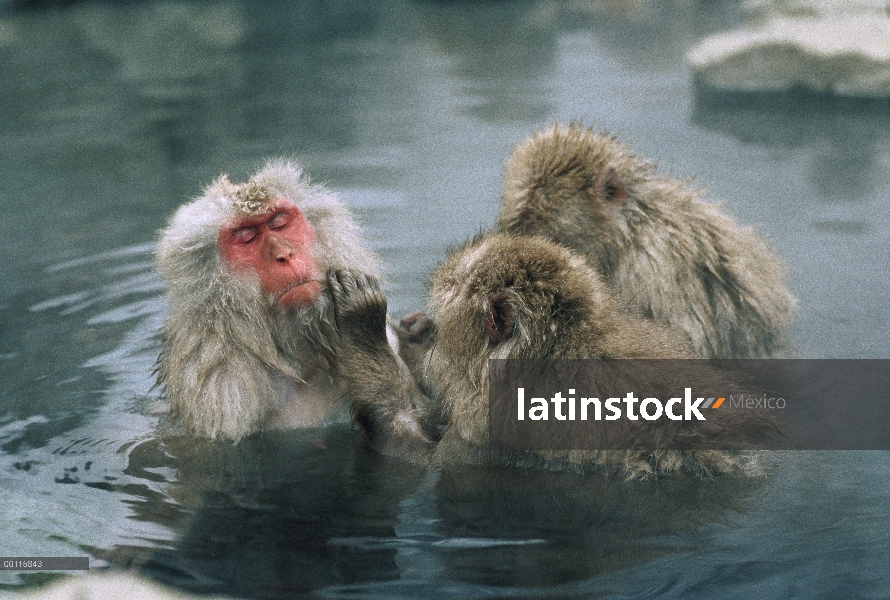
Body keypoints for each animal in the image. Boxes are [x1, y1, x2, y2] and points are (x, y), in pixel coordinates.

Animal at [157, 159, 434, 446]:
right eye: (245, 237)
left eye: (279, 222)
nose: (284, 255)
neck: (301, 353)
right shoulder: (224, 393)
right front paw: (364, 330)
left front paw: (417, 338)